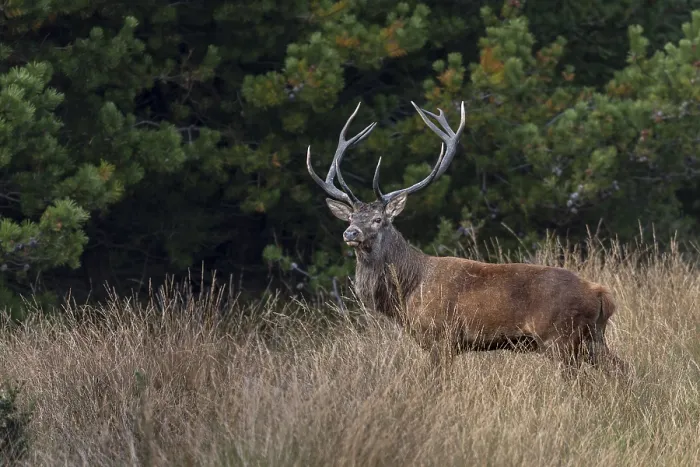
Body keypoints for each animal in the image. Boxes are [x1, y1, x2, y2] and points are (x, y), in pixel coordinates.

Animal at [306, 101, 627, 378]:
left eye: (378, 219)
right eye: (349, 218)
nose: (350, 233)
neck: (408, 291)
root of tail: (601, 294)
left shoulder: (442, 337)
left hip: (560, 337)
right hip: (591, 339)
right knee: (623, 369)